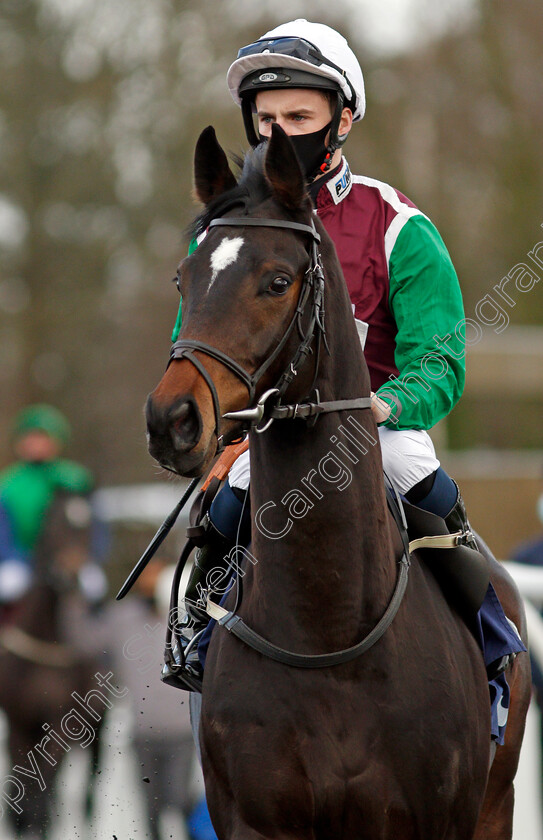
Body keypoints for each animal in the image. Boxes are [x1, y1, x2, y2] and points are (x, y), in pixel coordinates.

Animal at [0, 488, 104, 836]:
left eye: (87, 528)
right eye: (53, 525)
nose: (70, 575)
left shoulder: (60, 725)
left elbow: (41, 797)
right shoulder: (19, 726)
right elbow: (28, 793)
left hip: (97, 726)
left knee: (88, 793)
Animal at [144, 124, 532, 840]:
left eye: (276, 281)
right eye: (184, 279)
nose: (172, 419)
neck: (329, 633)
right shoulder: (255, 818)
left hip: (496, 805)